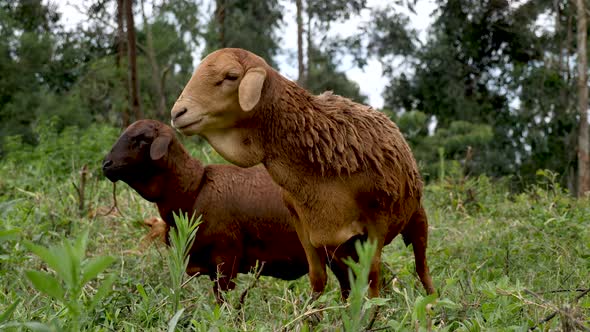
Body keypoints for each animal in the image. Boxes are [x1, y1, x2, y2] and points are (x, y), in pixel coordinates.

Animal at [169, 47, 438, 298]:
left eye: (231, 76)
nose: (177, 113)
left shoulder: (377, 220)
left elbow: (372, 277)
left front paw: (372, 311)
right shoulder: (304, 225)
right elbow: (317, 279)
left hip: (417, 218)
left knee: (422, 268)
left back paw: (433, 302)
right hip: (344, 248)